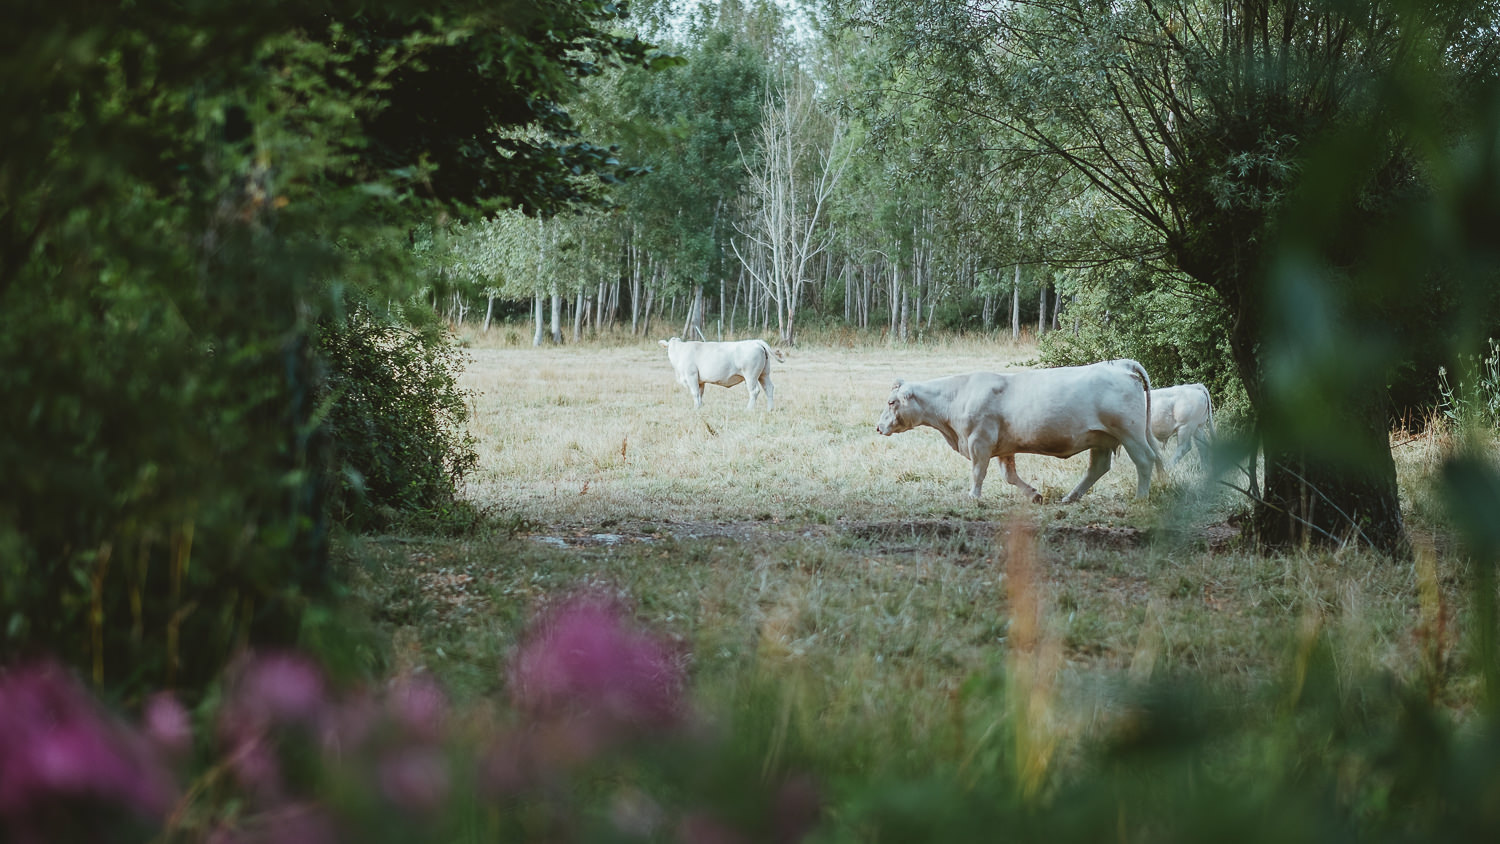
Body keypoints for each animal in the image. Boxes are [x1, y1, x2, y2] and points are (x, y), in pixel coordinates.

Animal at [876, 361, 1164, 506]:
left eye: (891, 402)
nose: (878, 427)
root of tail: (1120, 365)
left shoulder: (979, 441)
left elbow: (978, 472)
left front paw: (973, 497)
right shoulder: (1004, 447)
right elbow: (1009, 476)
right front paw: (1034, 495)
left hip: (1130, 432)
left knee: (1144, 460)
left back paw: (1140, 498)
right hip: (1100, 437)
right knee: (1098, 467)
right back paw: (1070, 497)